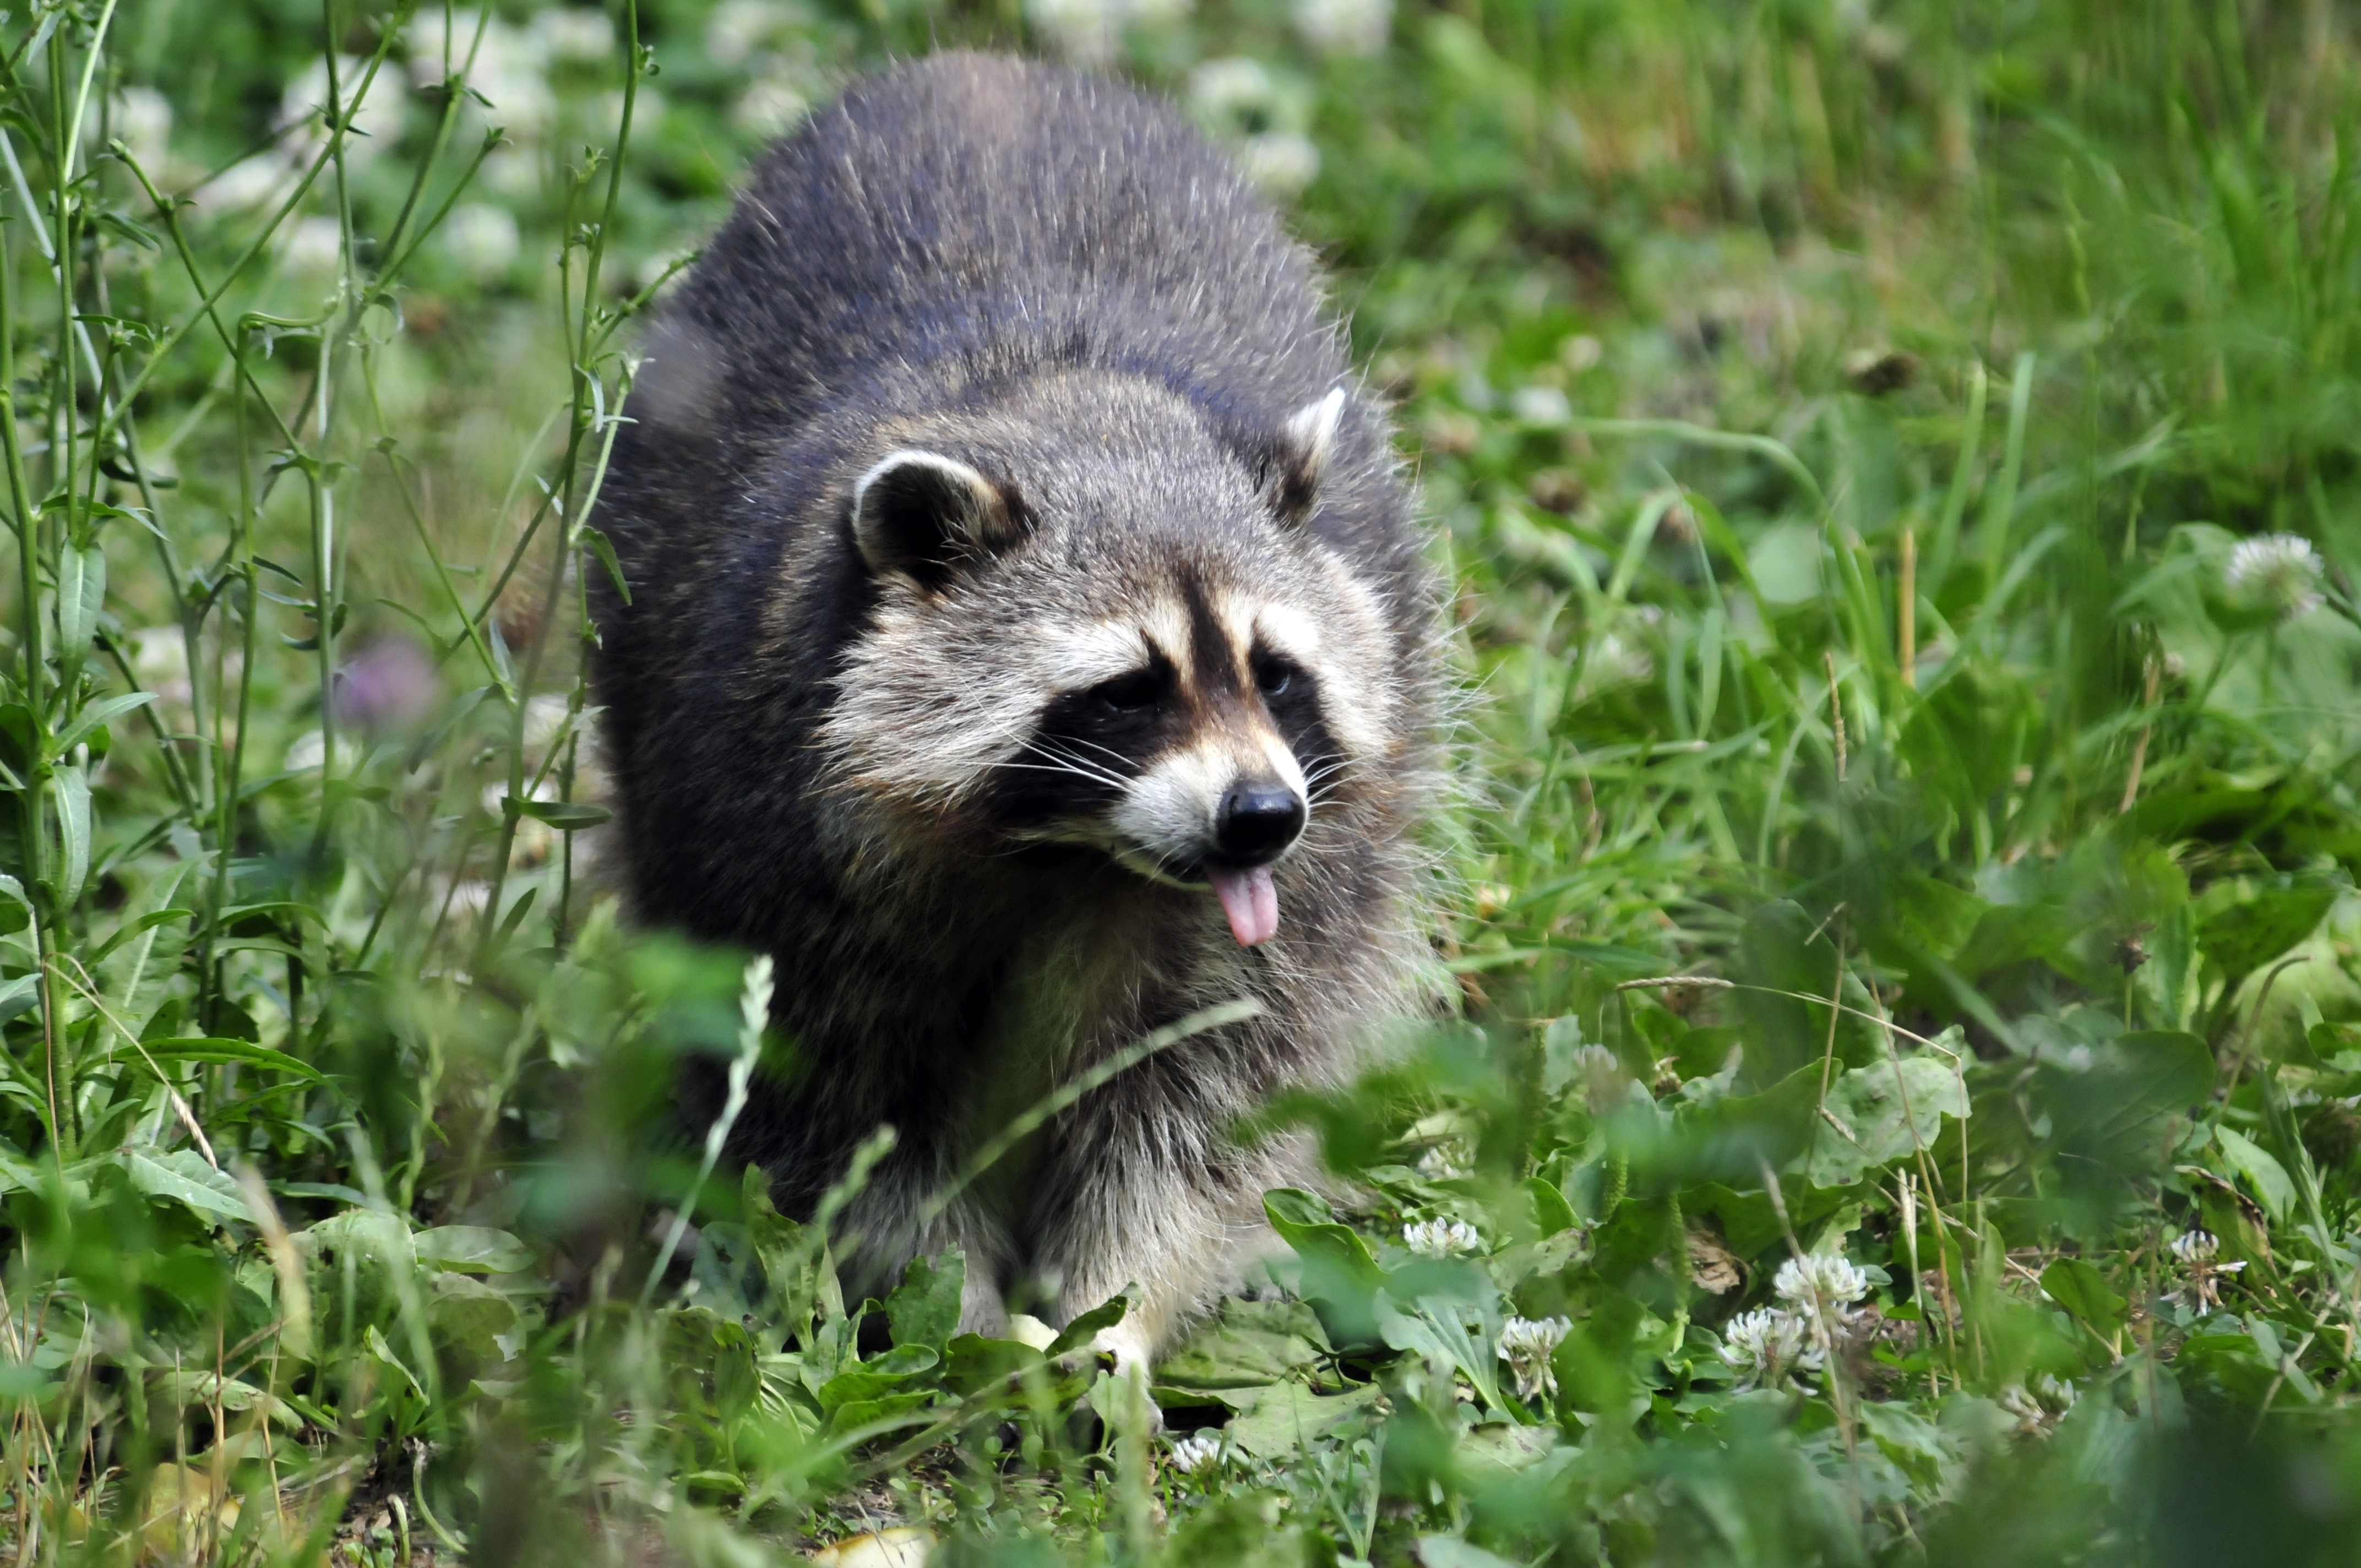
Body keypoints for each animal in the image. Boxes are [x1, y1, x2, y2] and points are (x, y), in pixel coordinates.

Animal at [592, 52, 1443, 1378]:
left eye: (1276, 673)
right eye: (1129, 689)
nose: (1260, 816)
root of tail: (985, 63)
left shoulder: (1314, 889)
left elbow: (1206, 1106)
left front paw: (1114, 1309)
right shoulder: (763, 833)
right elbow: (847, 1112)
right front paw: (962, 1312)